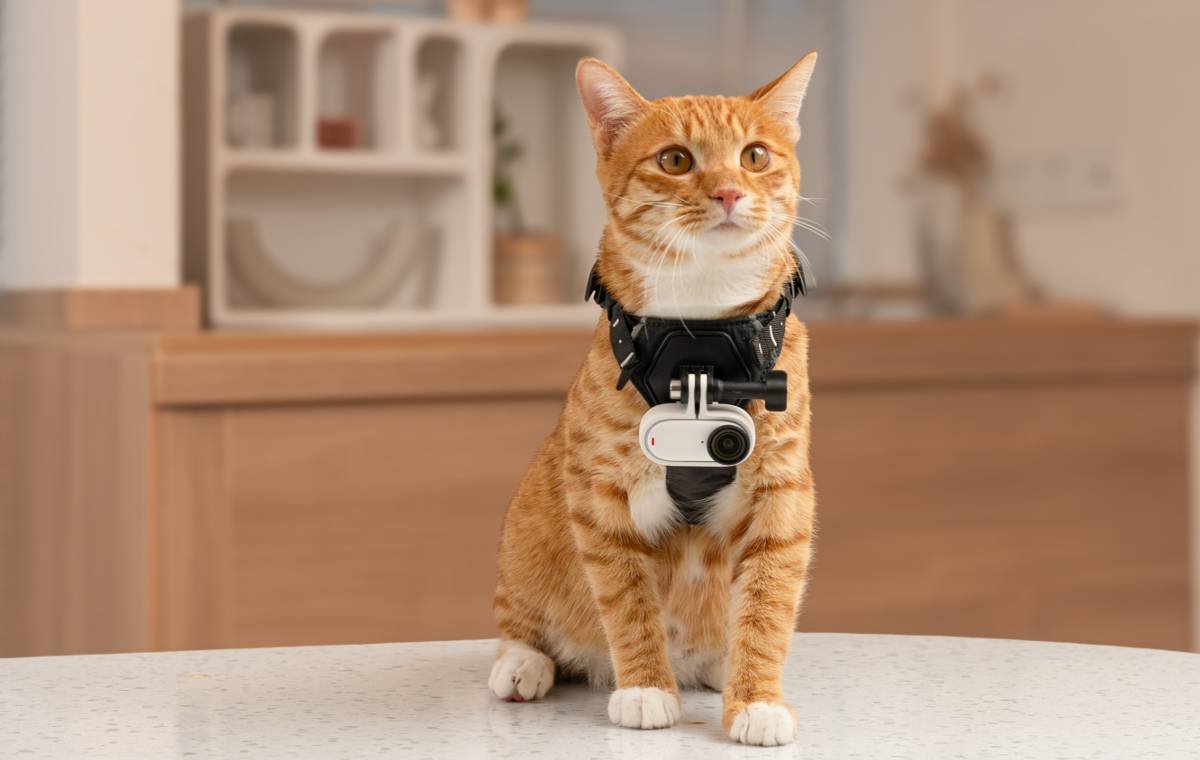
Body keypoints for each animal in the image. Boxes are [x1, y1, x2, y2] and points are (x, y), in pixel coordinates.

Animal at [492, 54, 820, 749]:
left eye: (754, 156)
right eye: (675, 160)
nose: (728, 193)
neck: (702, 345)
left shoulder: (783, 496)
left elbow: (768, 604)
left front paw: (757, 698)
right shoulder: (599, 499)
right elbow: (628, 601)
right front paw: (645, 687)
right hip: (527, 529)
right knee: (522, 620)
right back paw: (524, 664)